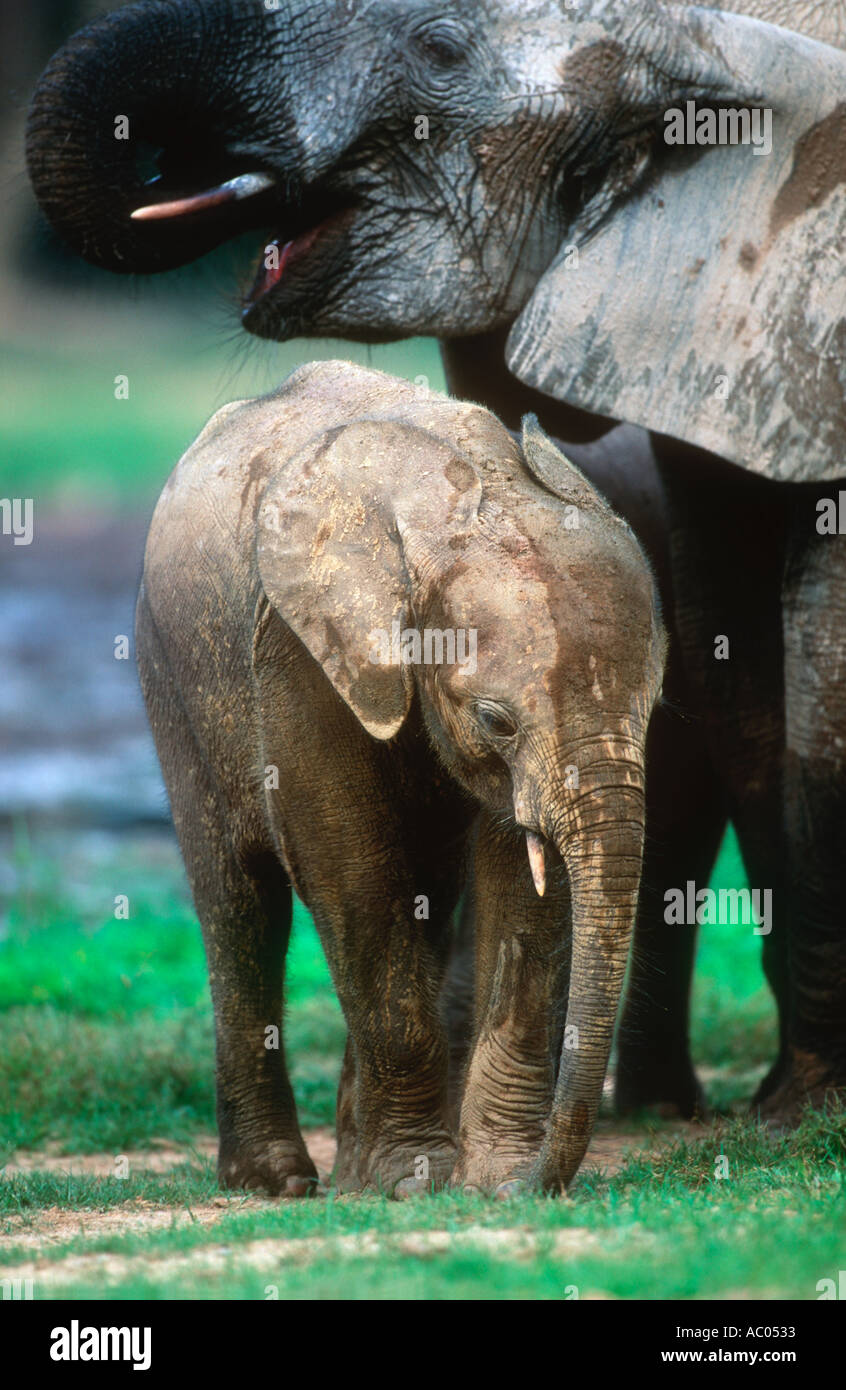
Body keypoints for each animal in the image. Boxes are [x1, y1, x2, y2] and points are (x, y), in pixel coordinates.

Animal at [136, 359, 666, 1195]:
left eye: (654, 707)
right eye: (495, 720)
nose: (536, 1186)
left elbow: (524, 881)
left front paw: (487, 1180)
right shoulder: (296, 652)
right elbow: (346, 863)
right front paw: (415, 1182)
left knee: (425, 895)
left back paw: (350, 1175)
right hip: (169, 672)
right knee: (240, 901)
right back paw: (277, 1181)